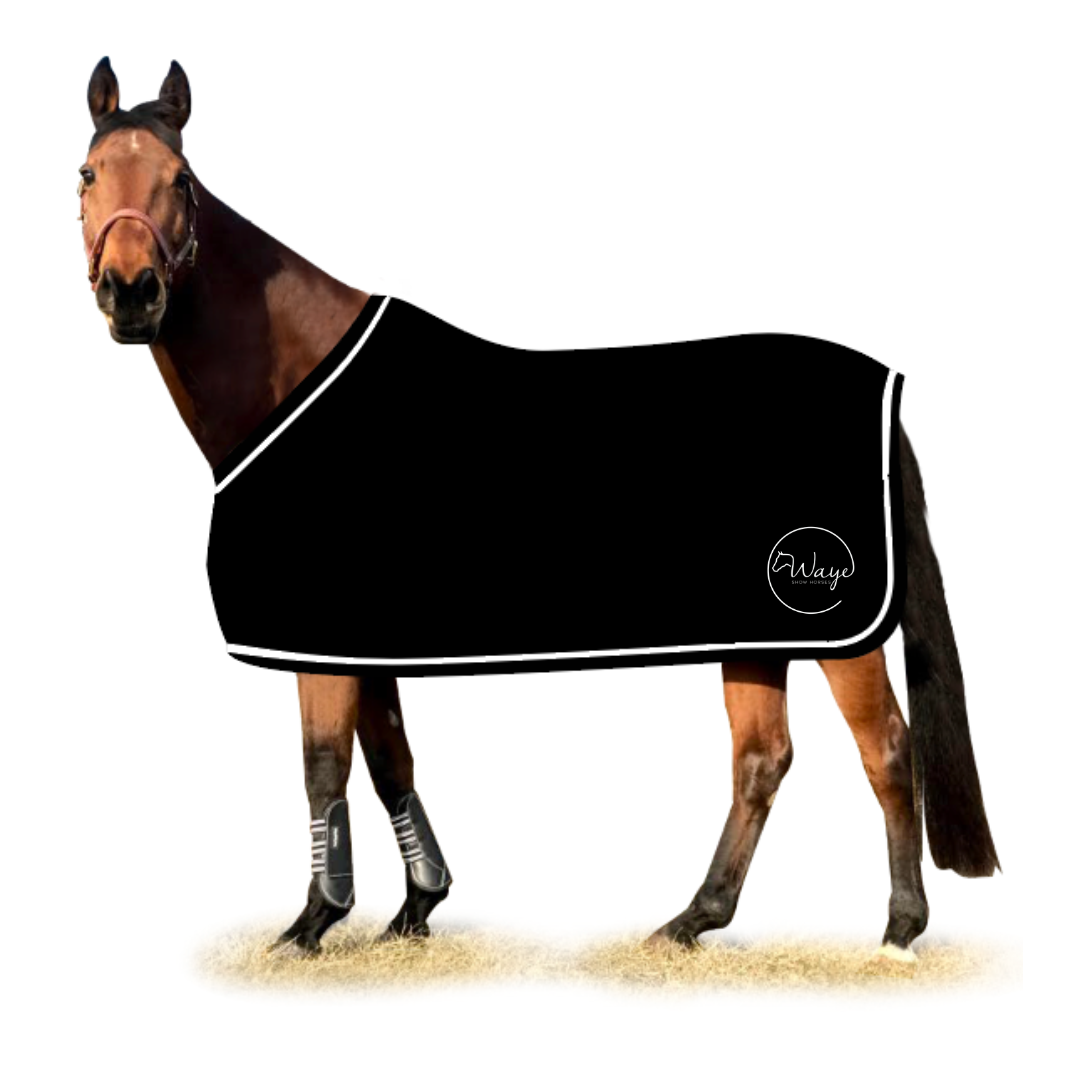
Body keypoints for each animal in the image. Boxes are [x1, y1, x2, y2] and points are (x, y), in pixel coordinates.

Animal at [77, 57, 999, 961]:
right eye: (88, 173)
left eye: (182, 181)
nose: (132, 292)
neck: (298, 380)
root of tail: (884, 391)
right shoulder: (357, 640)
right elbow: (390, 760)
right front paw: (415, 907)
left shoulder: (318, 641)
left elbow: (324, 764)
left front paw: (312, 923)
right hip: (756, 635)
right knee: (761, 758)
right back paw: (691, 920)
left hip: (835, 628)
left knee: (886, 750)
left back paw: (898, 928)